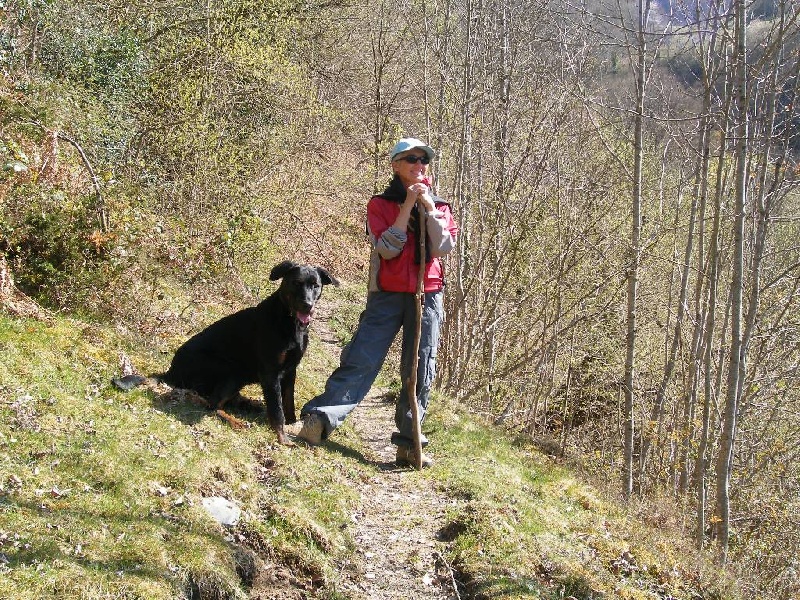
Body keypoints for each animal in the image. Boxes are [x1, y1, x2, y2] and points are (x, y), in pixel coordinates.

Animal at [158, 260, 340, 442]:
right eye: (296, 283)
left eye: (316, 285)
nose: (308, 306)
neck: (289, 322)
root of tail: (170, 372)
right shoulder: (270, 373)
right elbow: (277, 410)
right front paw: (282, 438)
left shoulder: (290, 370)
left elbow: (288, 402)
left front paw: (293, 424)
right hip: (231, 369)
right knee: (212, 405)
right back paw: (236, 421)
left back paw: (249, 405)